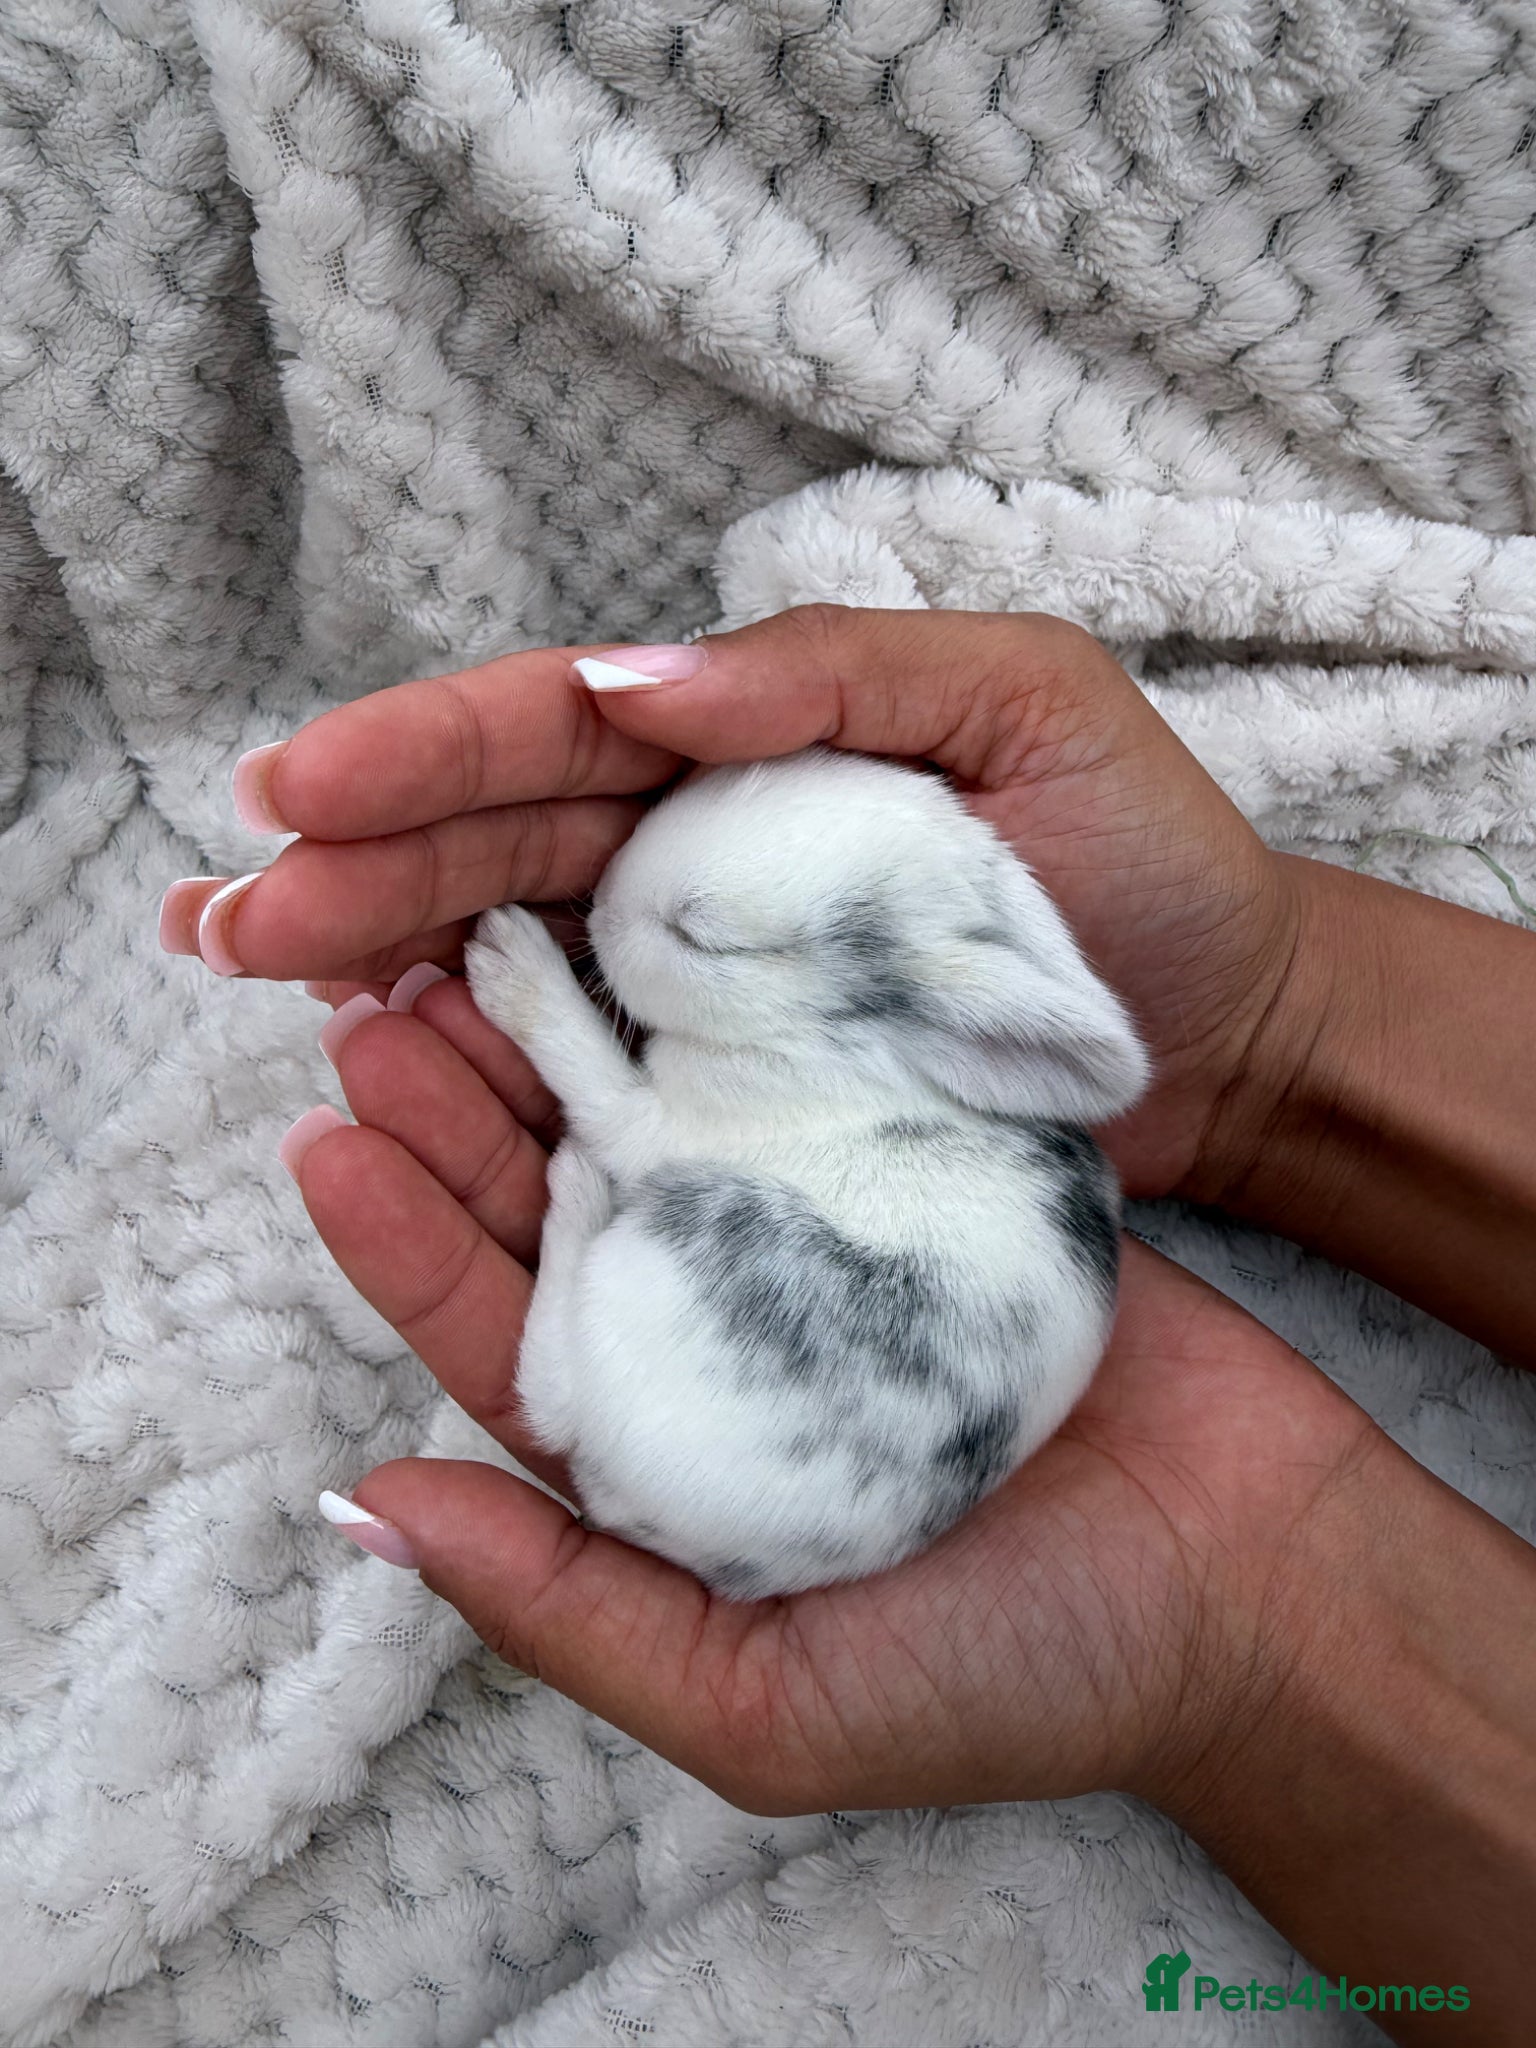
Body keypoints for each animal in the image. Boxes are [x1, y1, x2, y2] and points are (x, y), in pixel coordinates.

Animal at [462, 745, 1150, 1601]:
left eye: (704, 939)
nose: (601, 908)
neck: (832, 1040)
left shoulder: (672, 1119)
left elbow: (594, 1078)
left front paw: (509, 959)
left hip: (684, 1232)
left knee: (550, 1394)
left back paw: (576, 1187)